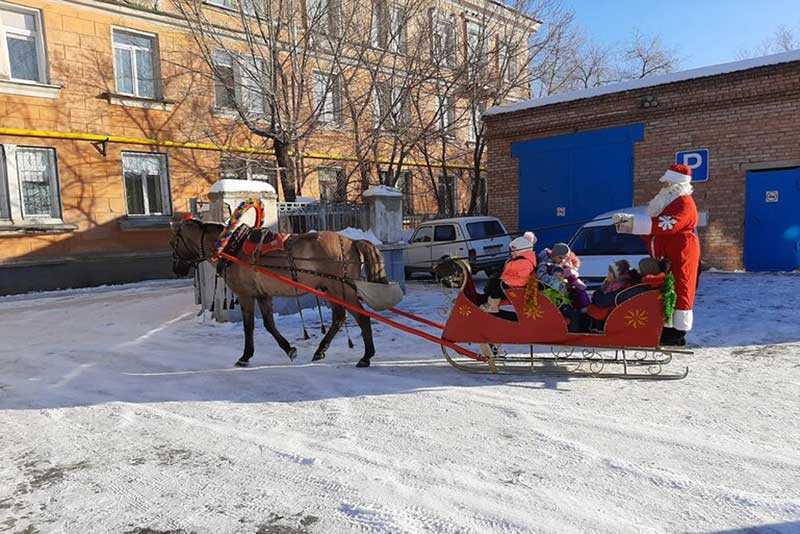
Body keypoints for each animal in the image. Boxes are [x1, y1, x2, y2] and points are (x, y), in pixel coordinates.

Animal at [170, 220, 390, 370]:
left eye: (174, 242)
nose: (176, 269)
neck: (231, 247)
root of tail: (352, 241)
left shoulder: (246, 295)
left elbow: (249, 326)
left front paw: (245, 356)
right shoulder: (263, 295)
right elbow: (269, 324)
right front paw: (289, 349)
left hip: (341, 289)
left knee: (361, 317)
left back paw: (366, 356)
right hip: (333, 290)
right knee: (339, 317)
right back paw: (321, 350)